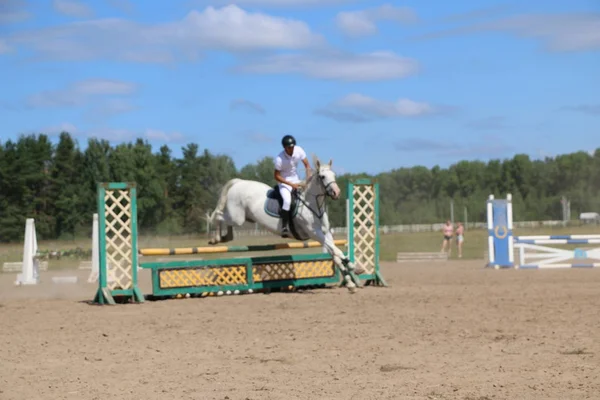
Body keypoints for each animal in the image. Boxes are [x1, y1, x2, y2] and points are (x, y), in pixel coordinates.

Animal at [206, 157, 366, 294]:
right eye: (322, 177)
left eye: (333, 175)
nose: (336, 193)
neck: (312, 204)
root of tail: (239, 182)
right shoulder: (314, 233)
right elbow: (337, 251)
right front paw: (353, 266)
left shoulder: (326, 233)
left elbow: (334, 254)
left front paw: (350, 283)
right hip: (237, 217)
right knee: (218, 216)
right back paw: (215, 238)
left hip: (241, 217)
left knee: (227, 225)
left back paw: (223, 238)